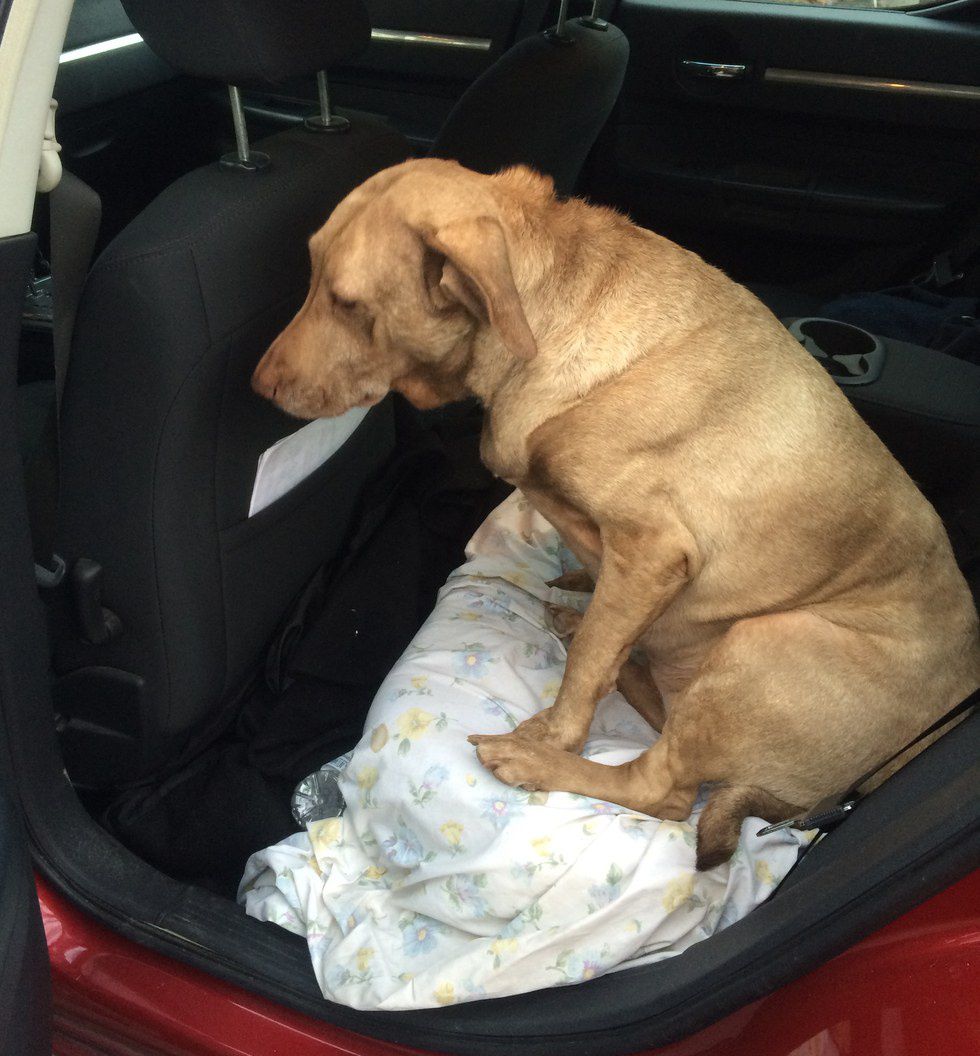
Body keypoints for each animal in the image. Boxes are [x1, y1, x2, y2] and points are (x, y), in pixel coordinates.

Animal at [253, 158, 980, 868]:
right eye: (310, 274)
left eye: (348, 302)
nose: (258, 387)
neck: (550, 317)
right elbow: (599, 614)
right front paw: (586, 599)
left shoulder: (654, 548)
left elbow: (584, 672)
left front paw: (554, 734)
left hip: (767, 641)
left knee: (663, 790)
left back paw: (533, 756)